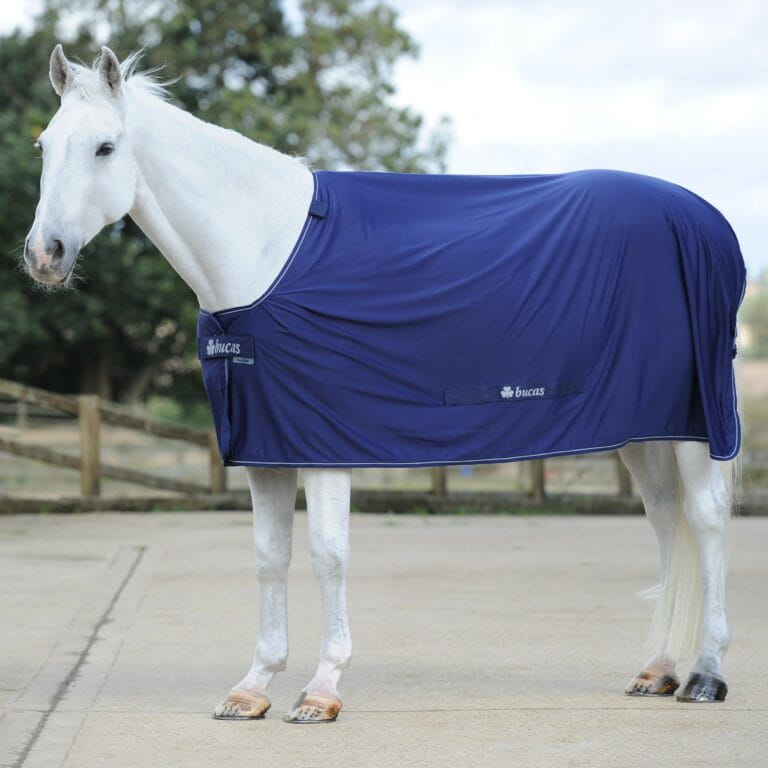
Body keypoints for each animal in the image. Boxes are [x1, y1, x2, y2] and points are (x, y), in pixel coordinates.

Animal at [23, 45, 744, 723]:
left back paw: (706, 674)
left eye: (105, 146)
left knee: (705, 521)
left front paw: (321, 691)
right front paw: (253, 688)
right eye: (43, 145)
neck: (265, 250)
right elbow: (268, 558)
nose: (43, 255)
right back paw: (657, 669)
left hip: (696, 423)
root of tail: (705, 219)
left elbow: (327, 555)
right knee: (663, 519)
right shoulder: (265, 450)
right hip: (643, 427)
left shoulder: (324, 444)